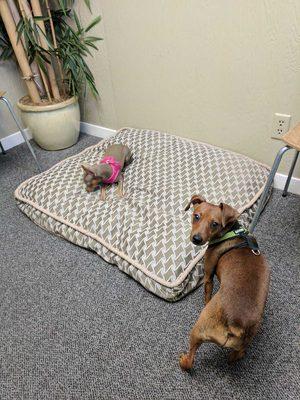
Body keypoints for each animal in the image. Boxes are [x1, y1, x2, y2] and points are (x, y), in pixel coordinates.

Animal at [179, 195, 270, 370]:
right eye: (196, 216)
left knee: (190, 361)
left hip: (198, 330)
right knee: (237, 355)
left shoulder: (208, 276)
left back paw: (183, 360)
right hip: (242, 345)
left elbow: (207, 294)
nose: (197, 239)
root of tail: (236, 325)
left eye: (215, 224)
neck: (230, 231)